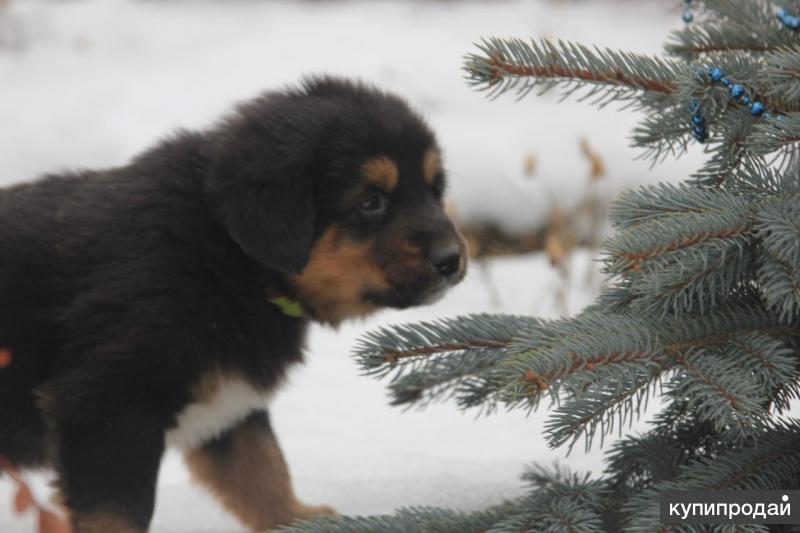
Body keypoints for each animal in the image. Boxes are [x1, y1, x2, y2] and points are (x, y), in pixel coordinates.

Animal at [0, 78, 466, 532]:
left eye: (435, 190)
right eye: (372, 202)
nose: (453, 259)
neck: (229, 258)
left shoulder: (227, 403)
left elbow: (263, 471)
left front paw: (298, 520)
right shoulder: (108, 403)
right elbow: (116, 514)